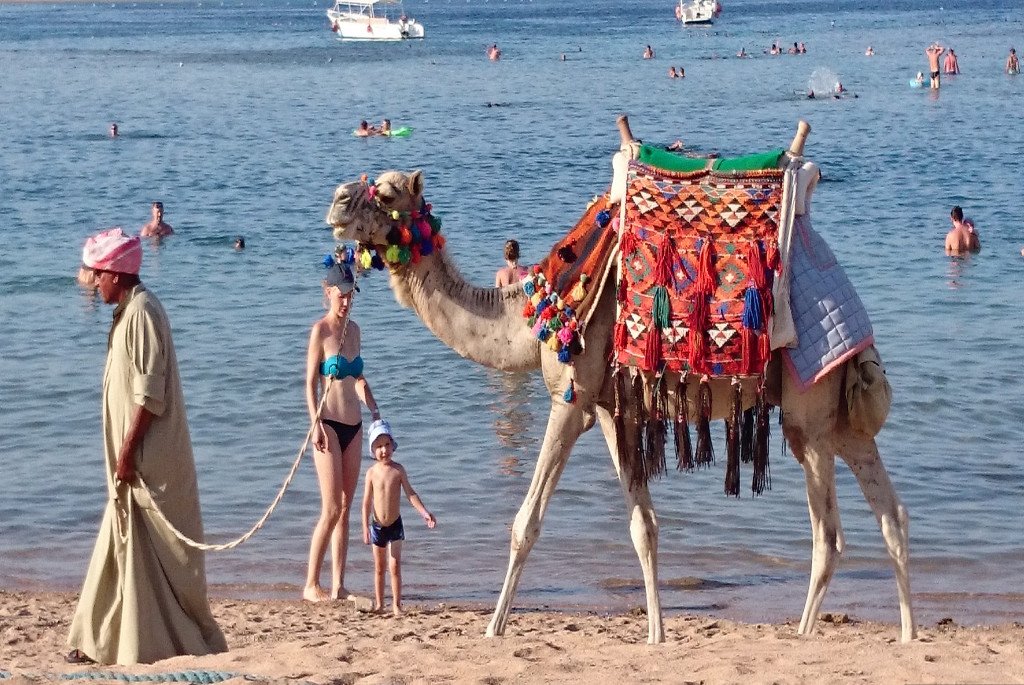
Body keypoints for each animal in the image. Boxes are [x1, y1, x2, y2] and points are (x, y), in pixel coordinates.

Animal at [325, 117, 916, 645]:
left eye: (386, 192)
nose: (335, 199)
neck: (532, 317)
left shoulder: (571, 400)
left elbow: (526, 521)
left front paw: (493, 628)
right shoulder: (614, 409)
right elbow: (643, 527)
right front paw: (656, 634)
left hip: (807, 414)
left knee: (828, 537)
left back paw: (803, 633)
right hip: (839, 419)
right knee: (893, 514)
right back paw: (908, 634)